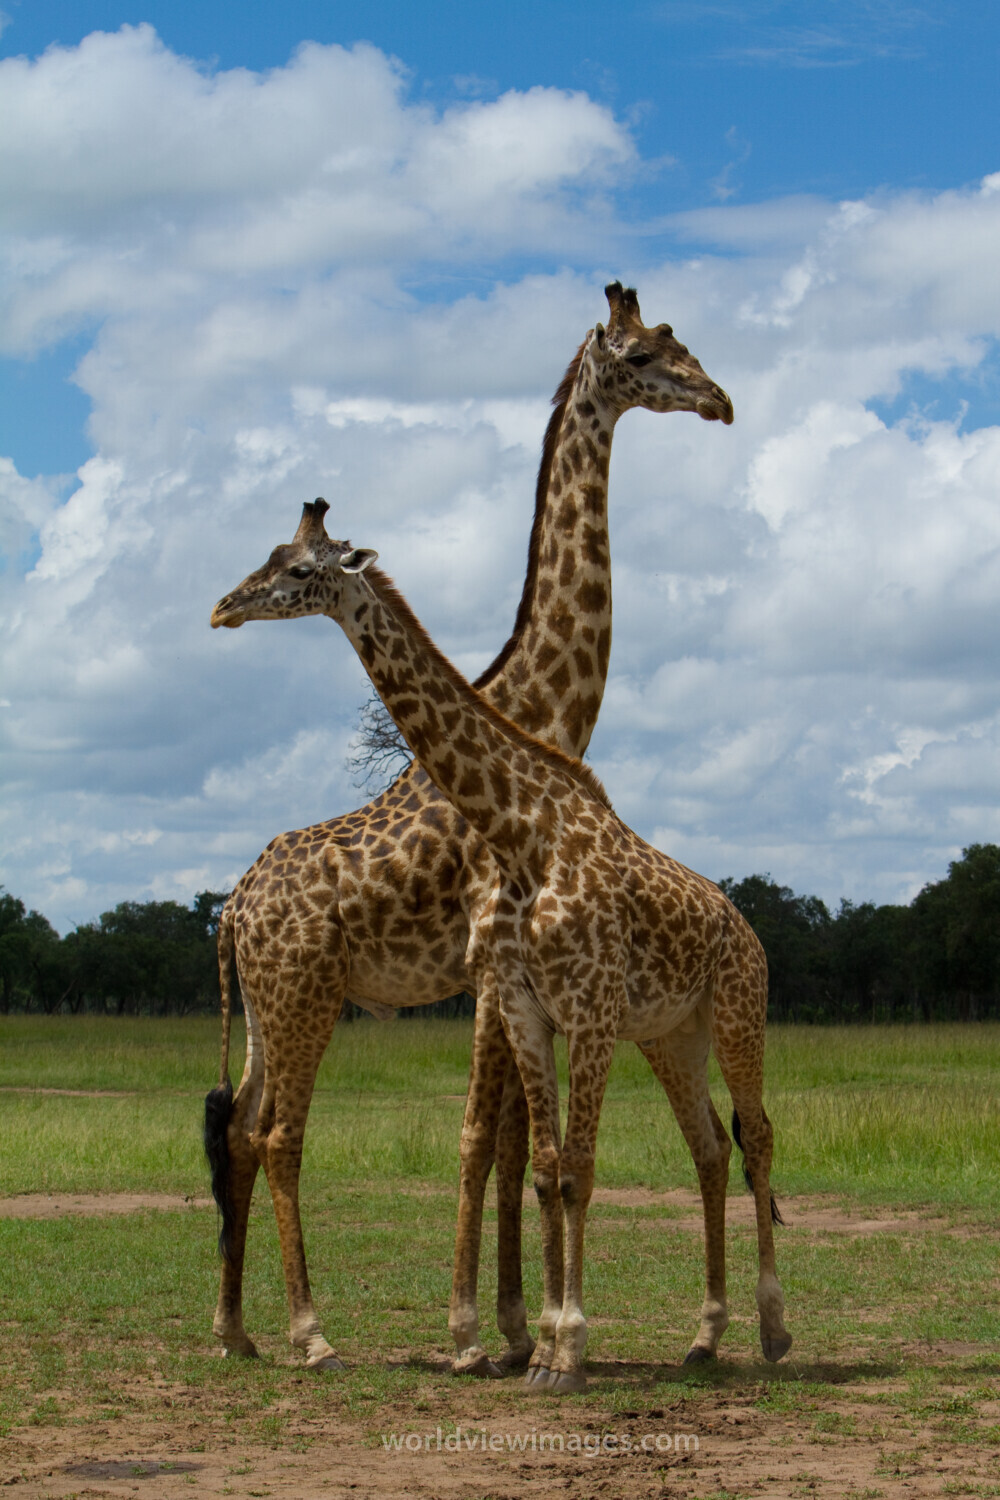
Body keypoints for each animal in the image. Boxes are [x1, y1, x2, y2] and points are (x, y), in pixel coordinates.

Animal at [204, 285, 734, 1374]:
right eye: (647, 355)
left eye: (677, 344)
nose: (720, 399)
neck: (538, 706)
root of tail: (232, 906)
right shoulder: (493, 965)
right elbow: (486, 1142)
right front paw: (482, 1332)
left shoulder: (502, 979)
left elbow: (506, 1145)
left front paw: (513, 1325)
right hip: (304, 998)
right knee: (278, 1137)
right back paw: (308, 1332)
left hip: (272, 1010)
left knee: (238, 1129)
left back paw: (236, 1330)